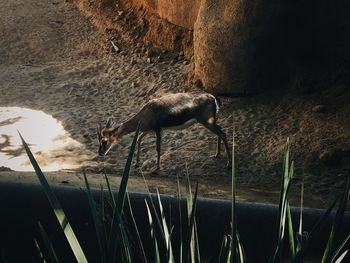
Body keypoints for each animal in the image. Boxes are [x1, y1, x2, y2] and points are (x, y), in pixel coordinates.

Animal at [97, 93, 231, 173]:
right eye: (98, 139)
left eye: (104, 141)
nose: (100, 153)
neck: (146, 113)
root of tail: (213, 98)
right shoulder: (148, 130)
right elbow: (139, 139)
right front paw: (136, 164)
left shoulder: (158, 130)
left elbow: (158, 148)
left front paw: (156, 169)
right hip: (210, 123)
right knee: (220, 132)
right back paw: (217, 154)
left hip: (207, 122)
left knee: (223, 134)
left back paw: (228, 164)